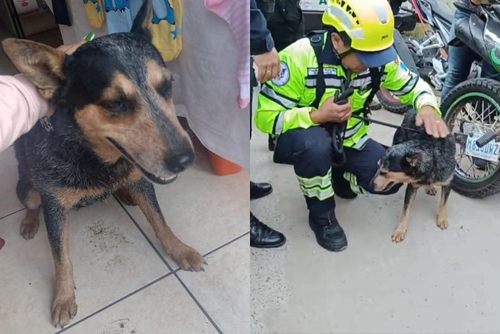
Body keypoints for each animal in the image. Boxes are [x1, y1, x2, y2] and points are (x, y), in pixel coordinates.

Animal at [2, 0, 205, 328]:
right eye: (114, 103)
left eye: (168, 85)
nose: (186, 159)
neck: (93, 157)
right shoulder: (54, 206)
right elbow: (61, 257)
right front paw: (63, 297)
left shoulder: (141, 180)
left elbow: (160, 222)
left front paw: (180, 250)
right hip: (29, 188)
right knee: (31, 202)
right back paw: (31, 220)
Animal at [372, 109, 458, 243]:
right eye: (378, 168)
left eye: (384, 172)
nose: (371, 184)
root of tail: (412, 110)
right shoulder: (412, 186)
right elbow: (405, 211)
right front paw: (400, 230)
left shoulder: (447, 181)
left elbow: (443, 203)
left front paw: (442, 218)